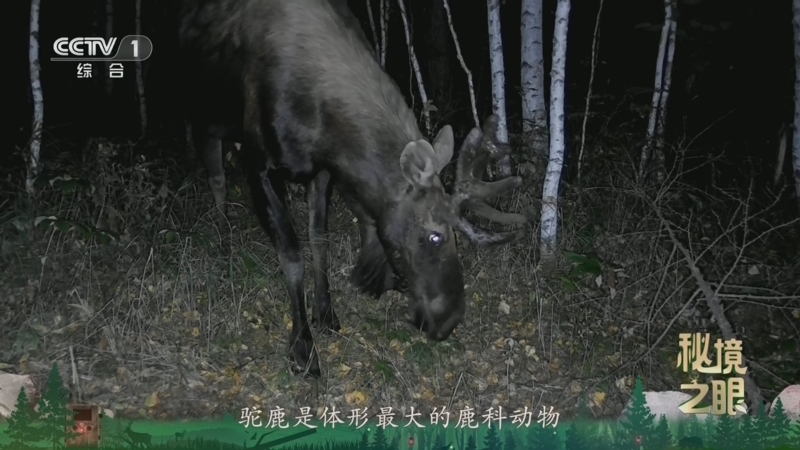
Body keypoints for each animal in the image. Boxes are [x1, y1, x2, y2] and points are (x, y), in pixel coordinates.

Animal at [176, 0, 530, 377]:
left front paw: (326, 313)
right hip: (202, 118)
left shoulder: (322, 170)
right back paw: (223, 247)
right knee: (217, 182)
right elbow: (292, 256)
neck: (322, 124)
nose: (448, 320)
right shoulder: (258, 163)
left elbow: (320, 240)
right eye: (434, 235)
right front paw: (303, 348)